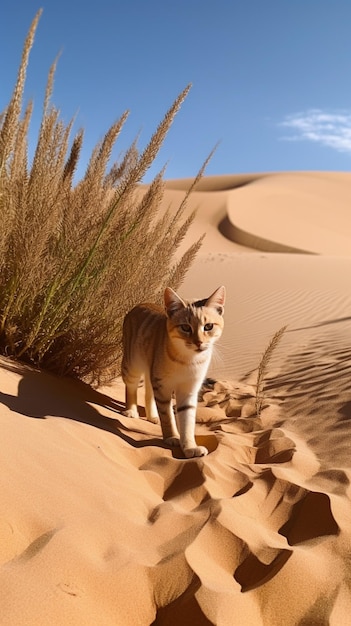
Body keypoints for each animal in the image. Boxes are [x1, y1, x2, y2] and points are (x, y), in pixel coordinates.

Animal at [121, 286, 226, 456]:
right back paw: (131, 410)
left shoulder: (189, 389)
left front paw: (190, 447)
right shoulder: (163, 386)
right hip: (132, 365)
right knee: (131, 387)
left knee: (149, 391)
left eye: (208, 326)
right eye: (186, 327)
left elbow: (187, 420)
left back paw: (152, 416)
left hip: (152, 370)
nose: (199, 342)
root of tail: (140, 304)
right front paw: (172, 437)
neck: (188, 361)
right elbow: (167, 416)